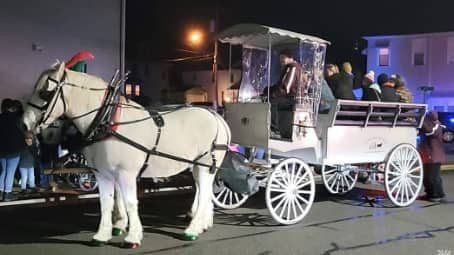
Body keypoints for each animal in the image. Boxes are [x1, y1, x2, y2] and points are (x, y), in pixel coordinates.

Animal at [22, 62, 231, 248]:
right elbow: (107, 202)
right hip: (197, 166)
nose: (24, 124)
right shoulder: (103, 173)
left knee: (205, 193)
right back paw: (203, 222)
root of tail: (215, 116)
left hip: (205, 165)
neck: (108, 121)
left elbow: (130, 203)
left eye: (45, 92)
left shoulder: (126, 173)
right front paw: (103, 234)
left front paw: (133, 237)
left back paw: (193, 229)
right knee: (202, 190)